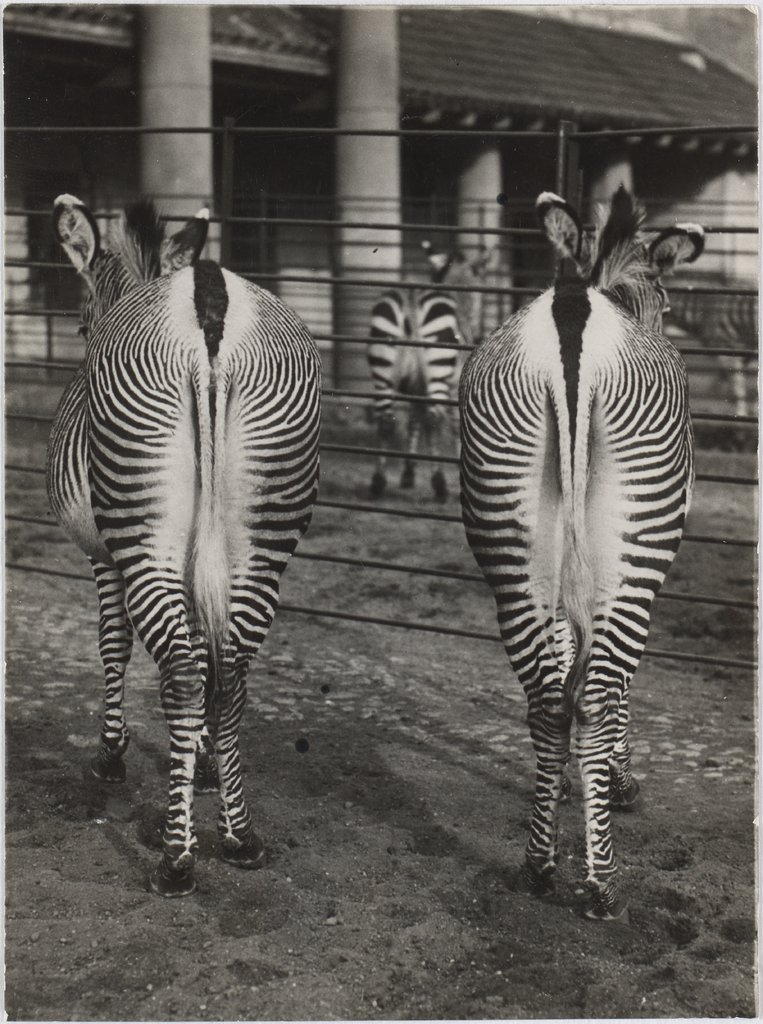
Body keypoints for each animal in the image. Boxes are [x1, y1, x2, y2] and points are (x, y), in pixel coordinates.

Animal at [46, 192, 321, 897]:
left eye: (82, 327)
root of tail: (207, 295)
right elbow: (206, 646)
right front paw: (201, 763)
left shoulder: (105, 556)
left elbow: (113, 643)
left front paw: (112, 754)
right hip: (265, 526)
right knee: (230, 671)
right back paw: (239, 835)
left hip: (142, 526)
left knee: (180, 668)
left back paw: (176, 856)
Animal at [366, 243, 491, 499]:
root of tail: (412, 296)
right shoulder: (454, 387)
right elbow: (452, 426)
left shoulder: (417, 388)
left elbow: (414, 421)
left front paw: (408, 472)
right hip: (438, 366)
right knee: (434, 419)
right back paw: (440, 483)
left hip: (383, 368)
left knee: (386, 421)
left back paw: (378, 481)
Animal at [458, 188, 700, 925]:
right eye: (666, 302)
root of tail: (573, 320)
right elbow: (613, 685)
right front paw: (617, 779)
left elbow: (565, 659)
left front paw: (566, 784)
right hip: (634, 542)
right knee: (593, 693)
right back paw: (601, 885)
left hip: (513, 537)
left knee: (545, 698)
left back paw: (539, 865)